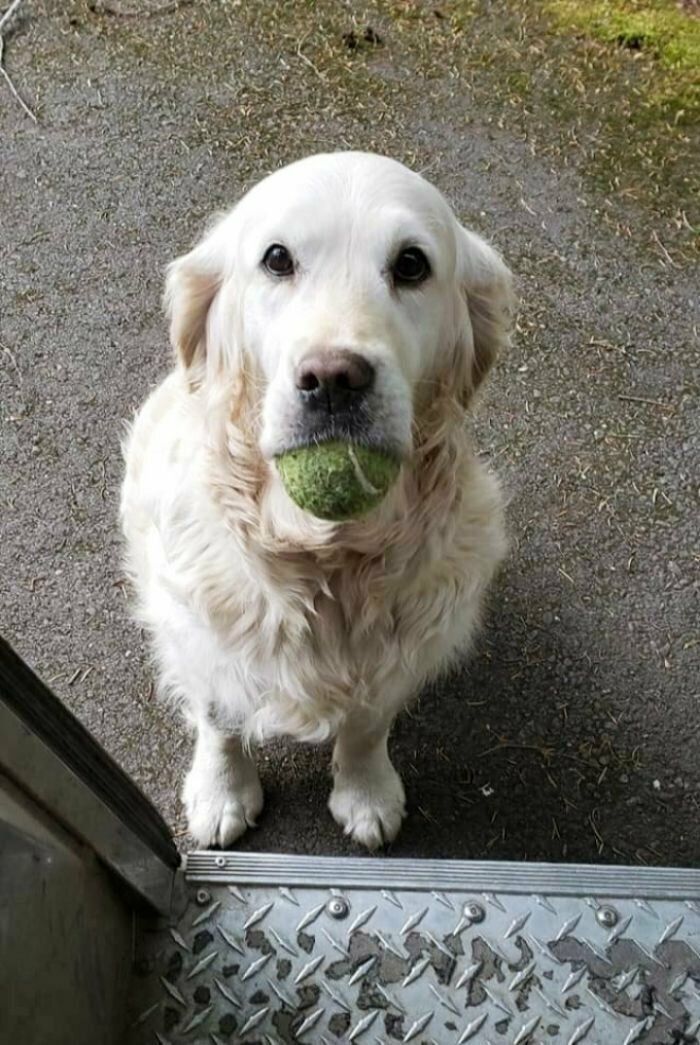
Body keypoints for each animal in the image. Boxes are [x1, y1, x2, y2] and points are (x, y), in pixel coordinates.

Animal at [120, 151, 511, 848]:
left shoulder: (400, 650)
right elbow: (220, 719)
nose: (334, 378)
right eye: (278, 258)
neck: (326, 558)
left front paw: (365, 792)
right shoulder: (202, 632)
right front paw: (222, 792)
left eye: (412, 264)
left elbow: (367, 724)